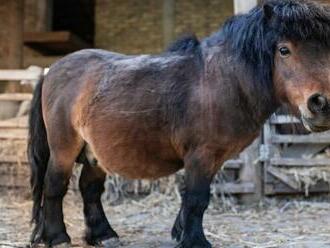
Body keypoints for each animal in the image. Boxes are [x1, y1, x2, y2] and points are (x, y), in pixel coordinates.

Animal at [27, 0, 330, 247]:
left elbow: (190, 198)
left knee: (89, 189)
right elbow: (197, 198)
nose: (321, 104)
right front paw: (195, 241)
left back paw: (103, 235)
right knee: (54, 185)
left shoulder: (212, 158)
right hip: (64, 149)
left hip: (95, 155)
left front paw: (181, 233)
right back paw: (57, 237)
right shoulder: (202, 154)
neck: (222, 81)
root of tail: (52, 70)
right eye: (284, 50)